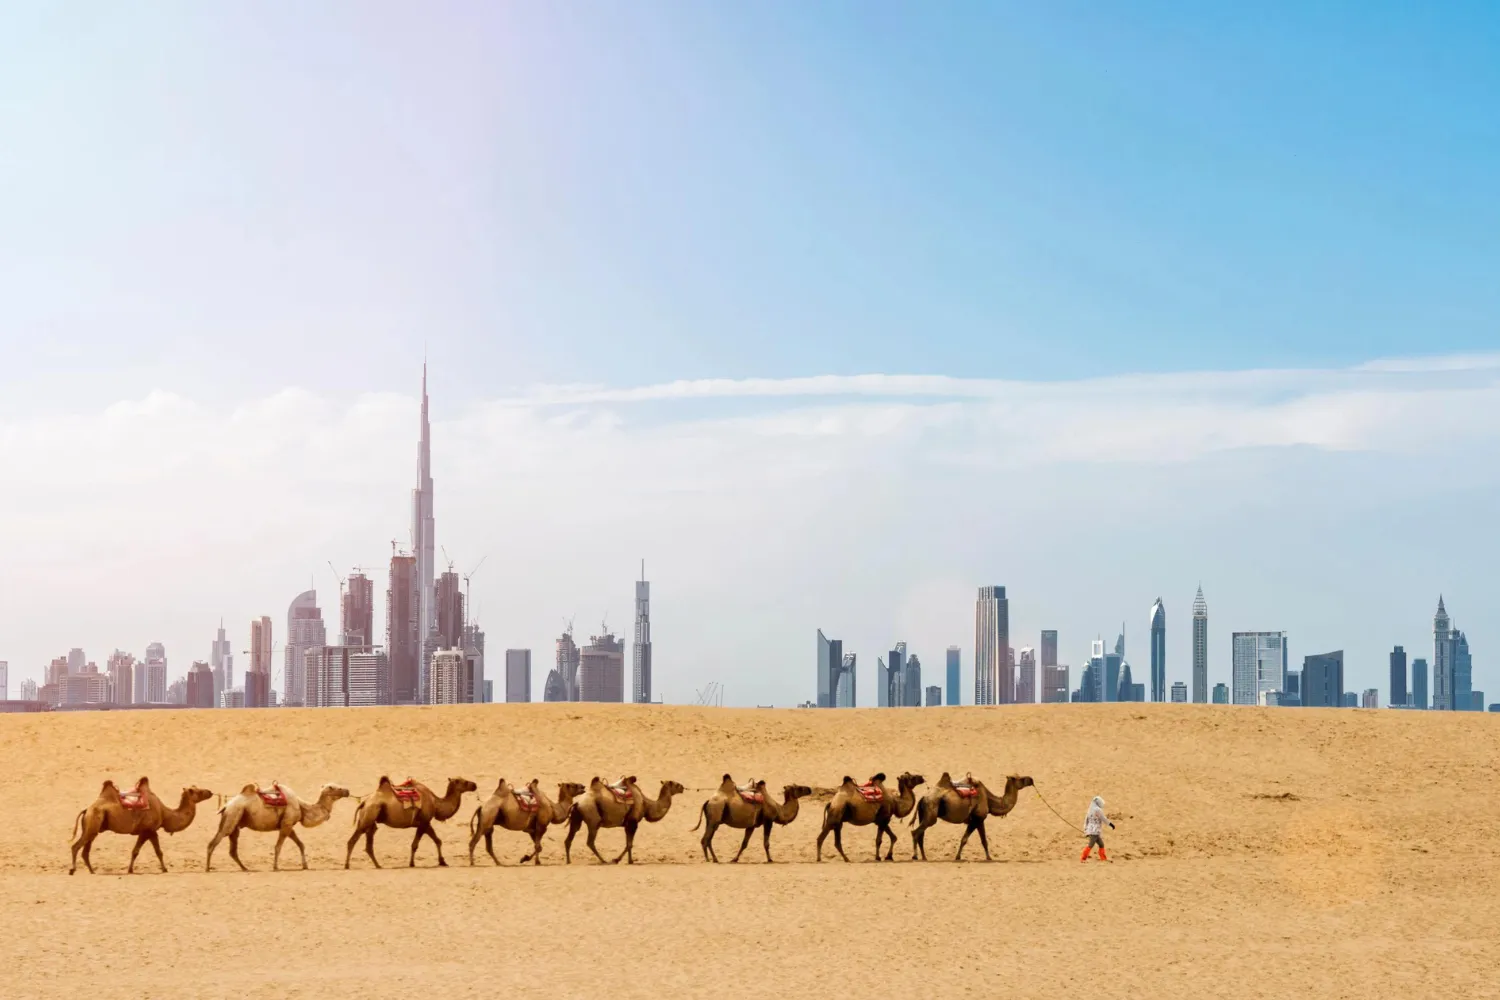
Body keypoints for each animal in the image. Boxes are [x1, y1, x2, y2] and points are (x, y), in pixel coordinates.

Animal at [69, 773, 214, 875]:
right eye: (199, 791)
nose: (210, 792)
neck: (164, 813)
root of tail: (86, 810)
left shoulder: (148, 831)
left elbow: (145, 851)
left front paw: (133, 870)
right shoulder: (148, 830)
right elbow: (151, 851)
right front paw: (163, 869)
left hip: (92, 827)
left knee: (85, 851)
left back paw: (92, 871)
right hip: (93, 823)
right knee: (75, 846)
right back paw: (72, 870)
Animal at [204, 779, 349, 869]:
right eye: (336, 787)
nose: (347, 791)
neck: (301, 806)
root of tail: (226, 806)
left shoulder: (288, 825)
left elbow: (301, 844)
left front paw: (305, 866)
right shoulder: (286, 824)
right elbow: (278, 847)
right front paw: (275, 867)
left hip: (235, 823)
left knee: (232, 850)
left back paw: (245, 868)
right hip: (232, 815)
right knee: (214, 842)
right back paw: (207, 868)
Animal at [343, 773, 474, 869]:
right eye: (465, 782)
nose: (475, 784)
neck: (436, 803)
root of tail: (364, 802)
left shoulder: (426, 823)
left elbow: (438, 841)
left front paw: (443, 862)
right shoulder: (424, 822)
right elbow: (415, 845)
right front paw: (412, 863)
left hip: (370, 820)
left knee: (368, 844)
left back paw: (378, 865)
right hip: (369, 815)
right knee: (352, 840)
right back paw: (347, 865)